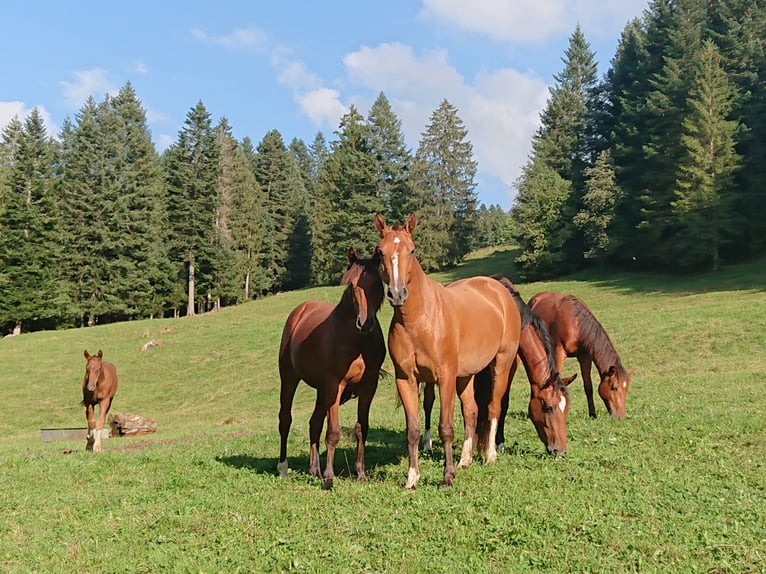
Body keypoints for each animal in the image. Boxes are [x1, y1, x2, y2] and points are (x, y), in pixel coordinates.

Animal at [277, 248, 386, 490]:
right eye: (353, 284)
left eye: (377, 283)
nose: (365, 323)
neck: (357, 341)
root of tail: (300, 311)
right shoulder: (336, 384)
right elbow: (333, 432)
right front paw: (329, 478)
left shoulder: (368, 386)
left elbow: (361, 427)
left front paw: (360, 472)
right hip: (289, 379)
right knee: (285, 420)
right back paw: (283, 468)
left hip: (321, 389)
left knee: (314, 423)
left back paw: (314, 470)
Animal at [374, 213, 522, 489]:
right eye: (380, 252)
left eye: (412, 250)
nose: (397, 294)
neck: (418, 321)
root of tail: (498, 290)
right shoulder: (406, 379)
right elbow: (413, 430)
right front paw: (412, 478)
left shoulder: (444, 377)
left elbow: (445, 427)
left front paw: (447, 477)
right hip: (465, 376)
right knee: (472, 411)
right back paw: (465, 460)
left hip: (501, 364)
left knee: (493, 408)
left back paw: (490, 456)